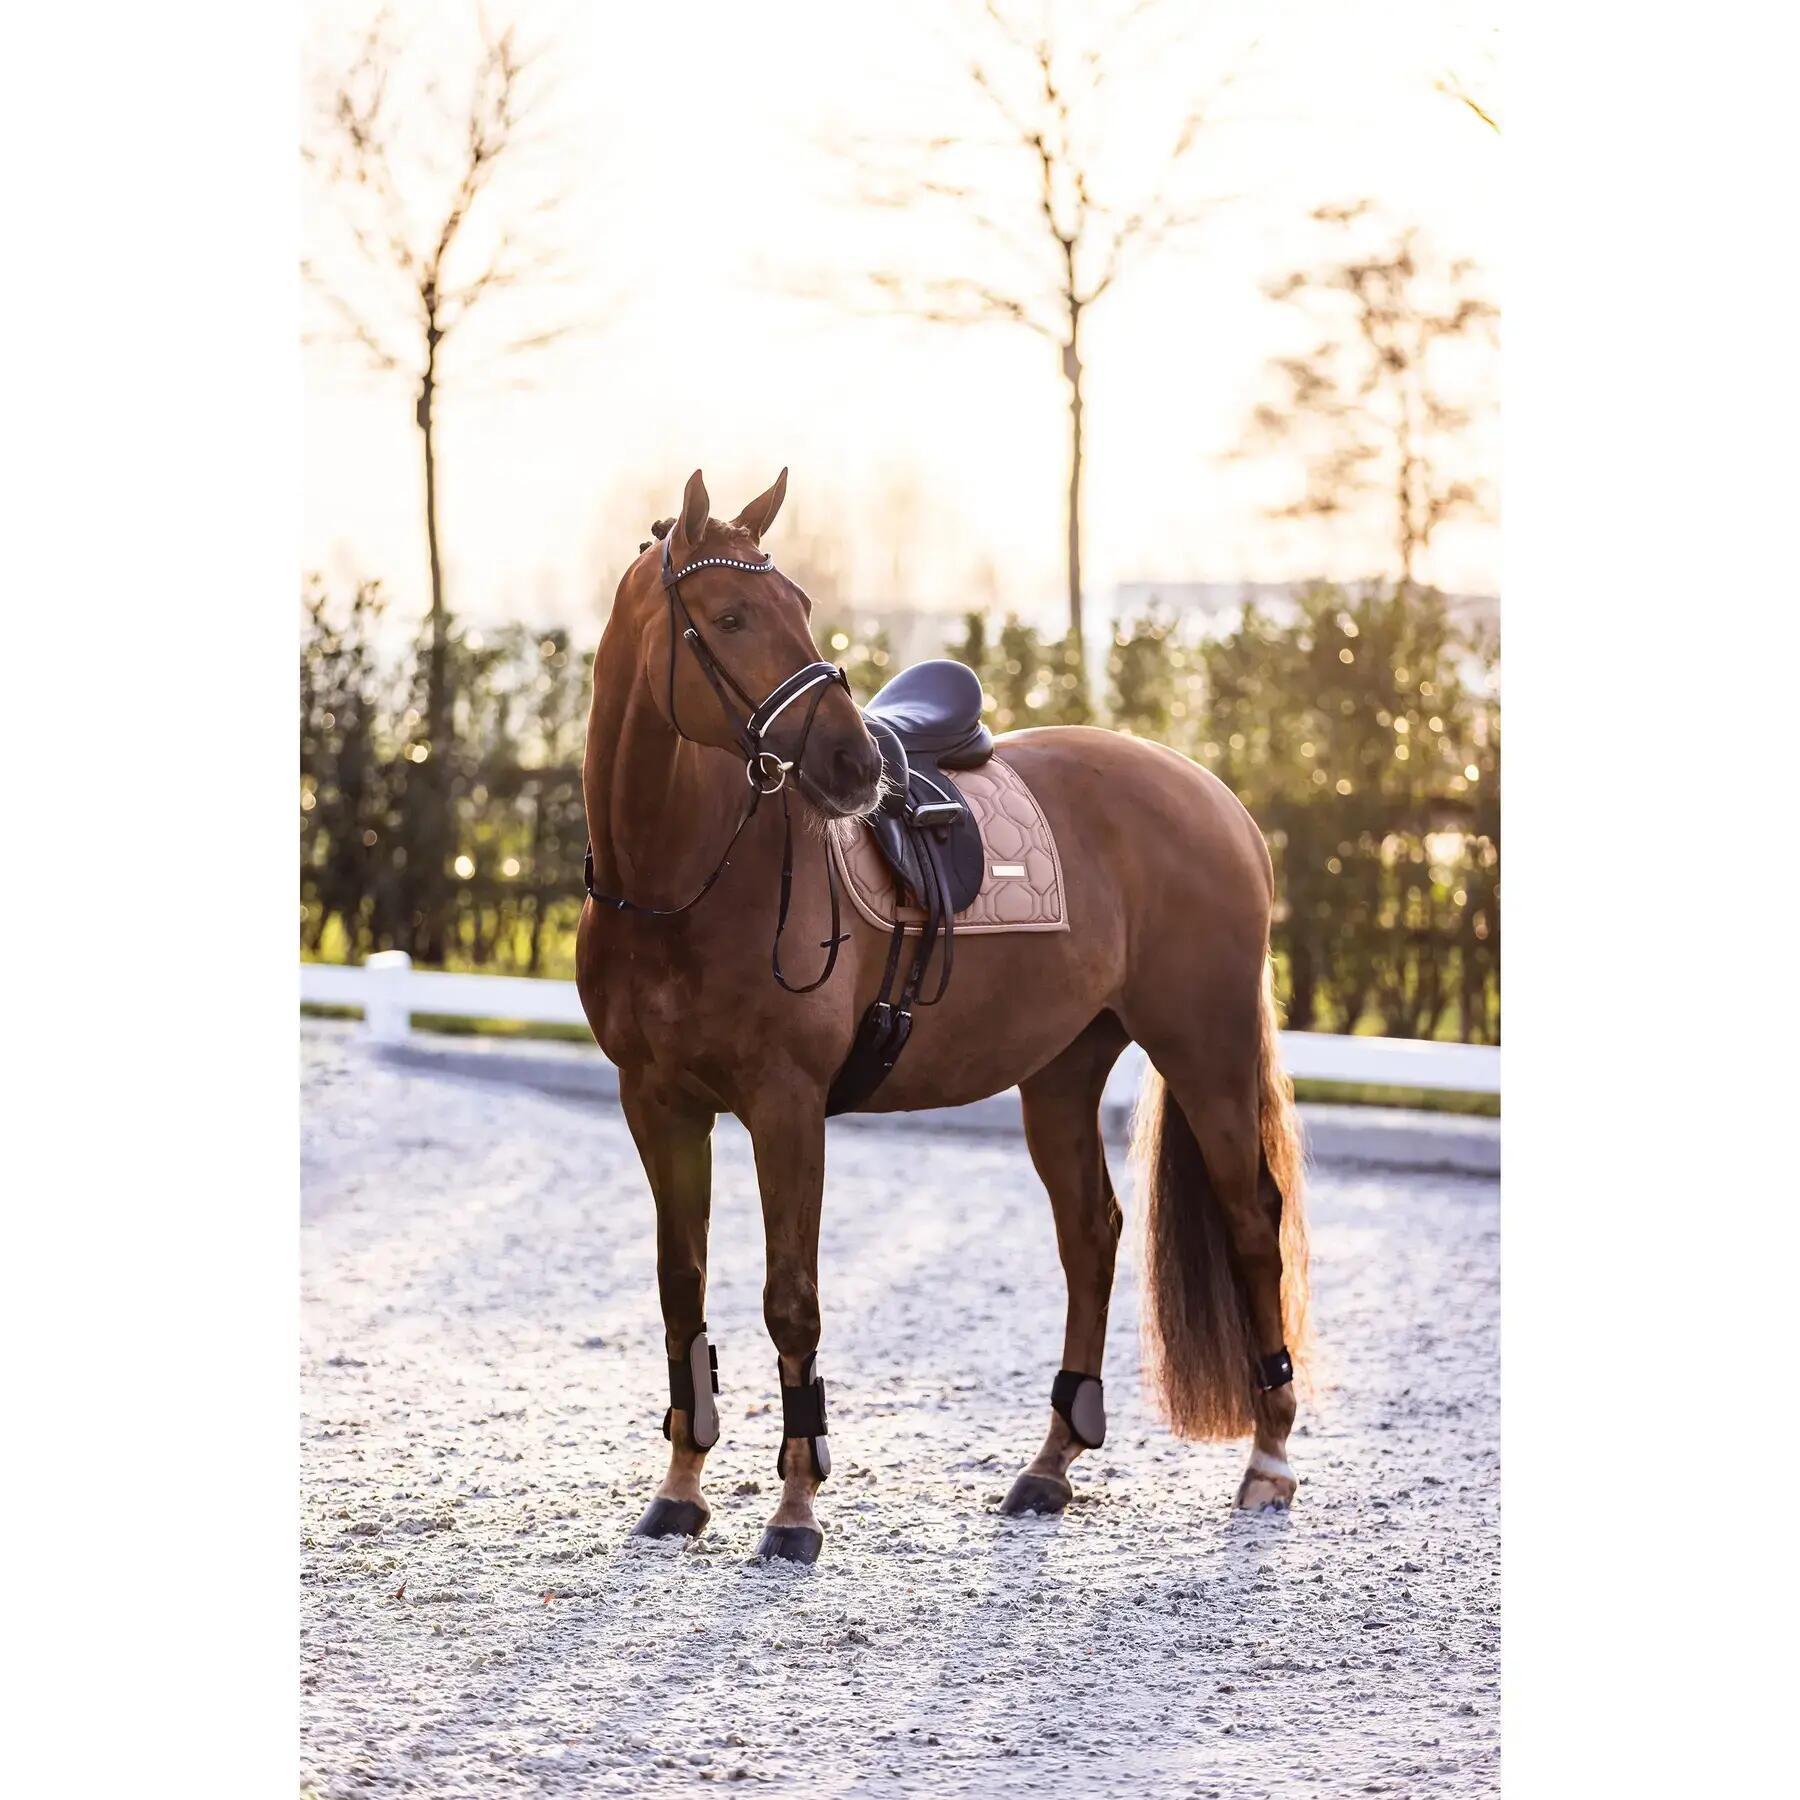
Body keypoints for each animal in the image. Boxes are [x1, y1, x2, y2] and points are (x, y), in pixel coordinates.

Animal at [576, 468, 1309, 1564]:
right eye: (732, 614)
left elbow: (791, 1301)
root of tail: (1213, 796)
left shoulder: (785, 1108)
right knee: (1091, 1233)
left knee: (1252, 1222)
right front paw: (680, 1490)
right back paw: (1052, 1463)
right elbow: (682, 1289)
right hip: (1062, 1069)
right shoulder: (656, 1104)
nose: (854, 766)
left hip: (1205, 1049)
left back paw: (1267, 1460)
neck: (677, 882)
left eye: (800, 604)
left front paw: (795, 1509)